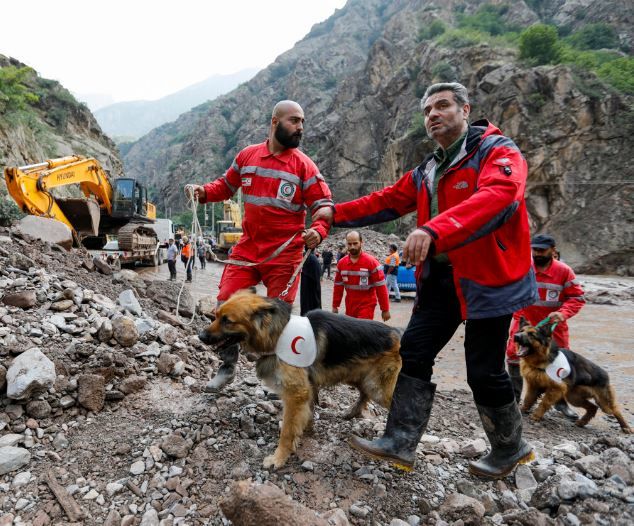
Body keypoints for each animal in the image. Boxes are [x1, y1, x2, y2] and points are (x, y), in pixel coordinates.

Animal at [198, 290, 400, 472]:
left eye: (227, 321)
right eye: (216, 316)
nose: (200, 336)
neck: (277, 334)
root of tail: (397, 332)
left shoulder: (296, 393)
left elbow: (287, 430)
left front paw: (279, 458)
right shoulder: (306, 389)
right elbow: (306, 414)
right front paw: (307, 429)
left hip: (378, 387)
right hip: (359, 376)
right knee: (364, 393)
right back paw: (352, 412)